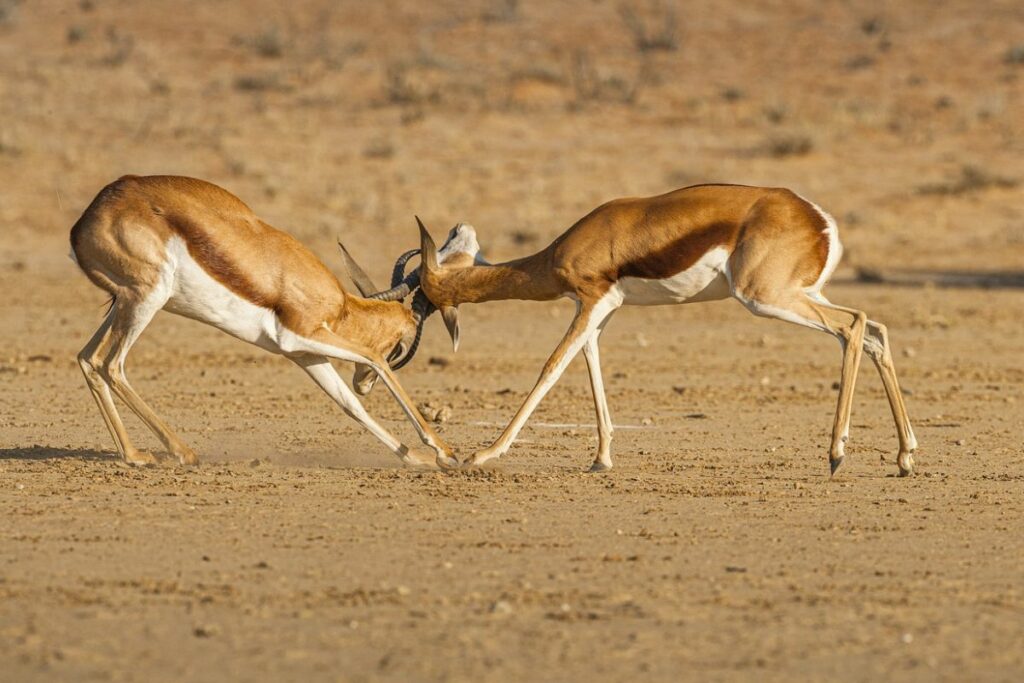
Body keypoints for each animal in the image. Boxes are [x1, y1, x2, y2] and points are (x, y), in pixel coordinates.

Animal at [68, 175, 456, 471]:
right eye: (400, 347)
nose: (363, 385)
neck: (341, 306)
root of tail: (84, 221)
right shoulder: (300, 335)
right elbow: (374, 361)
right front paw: (445, 453)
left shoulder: (305, 354)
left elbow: (350, 405)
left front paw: (417, 459)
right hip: (146, 299)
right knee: (110, 364)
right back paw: (175, 453)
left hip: (124, 303)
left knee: (87, 359)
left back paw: (134, 454)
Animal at [403, 184, 917, 479]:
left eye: (425, 283)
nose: (458, 224)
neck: (558, 254)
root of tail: (819, 220)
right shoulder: (600, 310)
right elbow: (590, 366)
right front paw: (601, 459)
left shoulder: (592, 300)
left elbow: (551, 367)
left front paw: (483, 455)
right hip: (801, 294)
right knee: (876, 331)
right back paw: (905, 457)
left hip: (765, 298)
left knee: (853, 325)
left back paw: (836, 454)